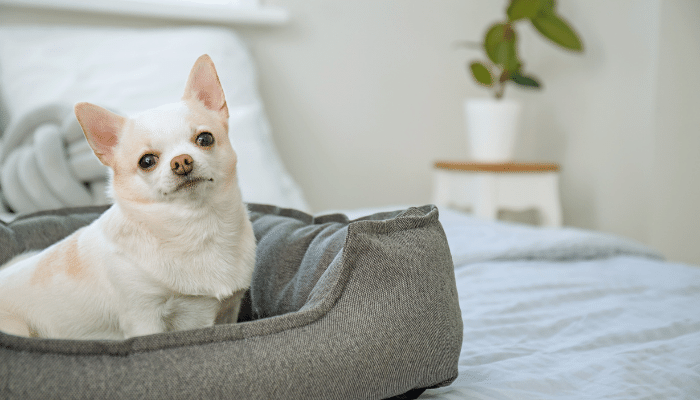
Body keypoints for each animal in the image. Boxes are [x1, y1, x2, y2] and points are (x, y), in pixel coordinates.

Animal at [0, 54, 256, 340]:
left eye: (205, 139)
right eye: (146, 161)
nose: (182, 161)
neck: (195, 226)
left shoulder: (228, 312)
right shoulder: (144, 316)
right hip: (19, 327)